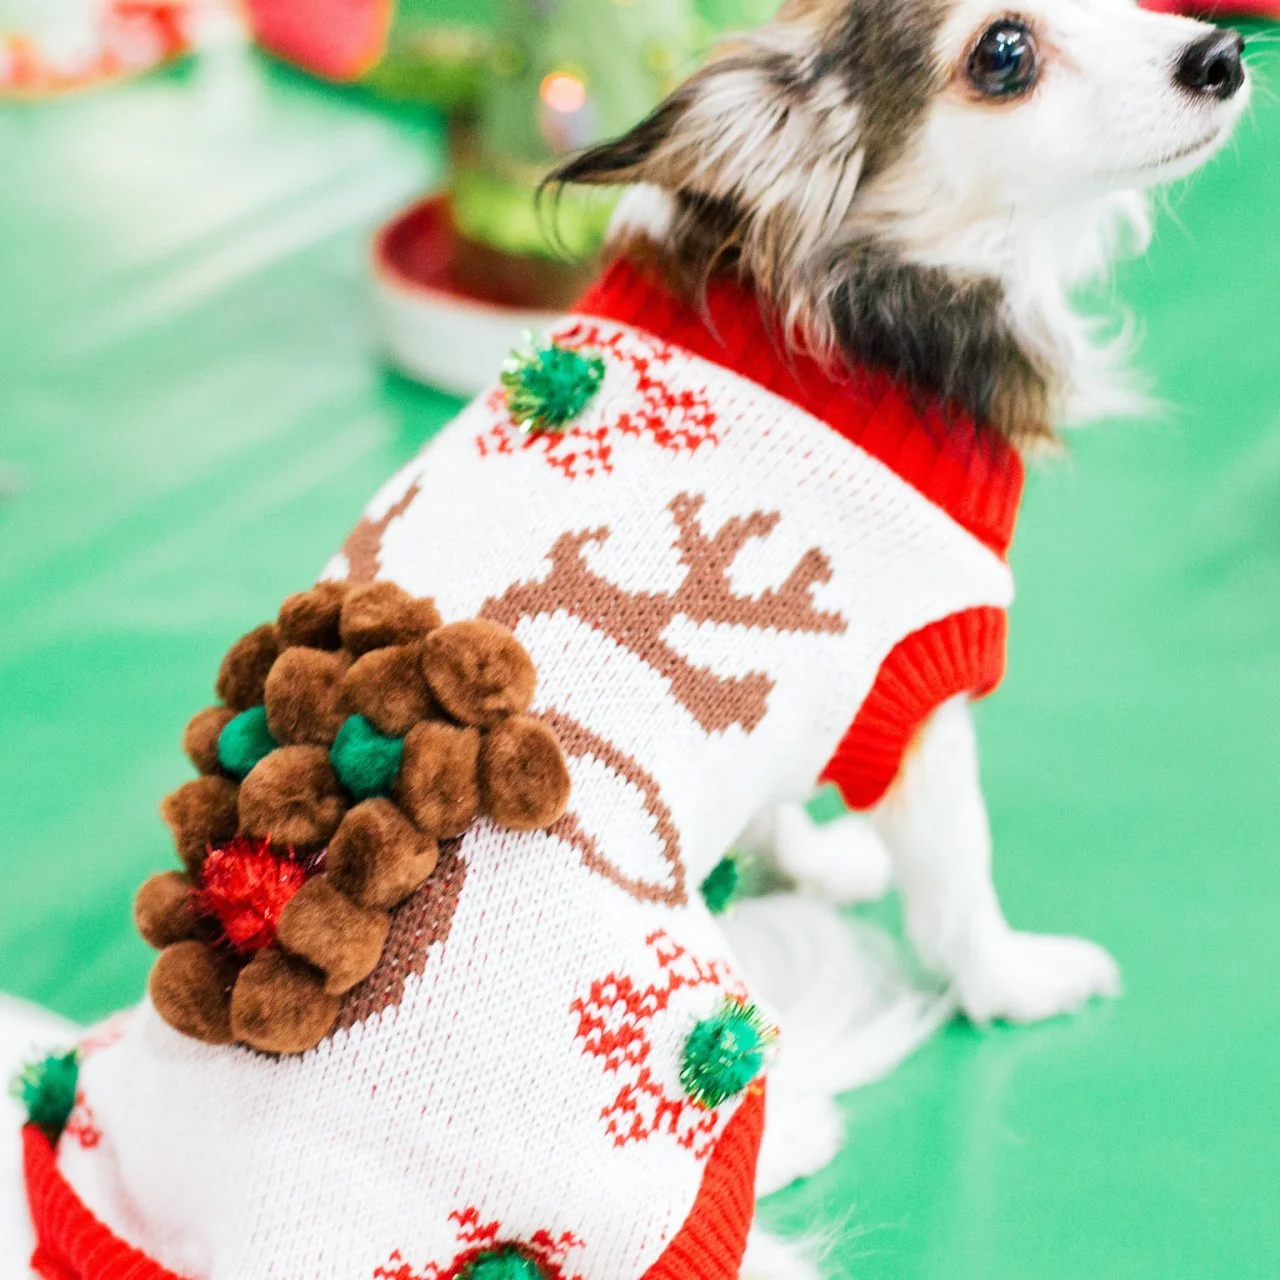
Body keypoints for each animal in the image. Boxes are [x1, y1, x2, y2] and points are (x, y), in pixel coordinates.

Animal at [12, 2, 1249, 1280]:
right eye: (1001, 55)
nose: (1218, 55)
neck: (820, 290)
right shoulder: (911, 689)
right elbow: (958, 881)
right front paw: (1016, 981)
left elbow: (769, 802)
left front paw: (813, 858)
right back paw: (795, 1121)